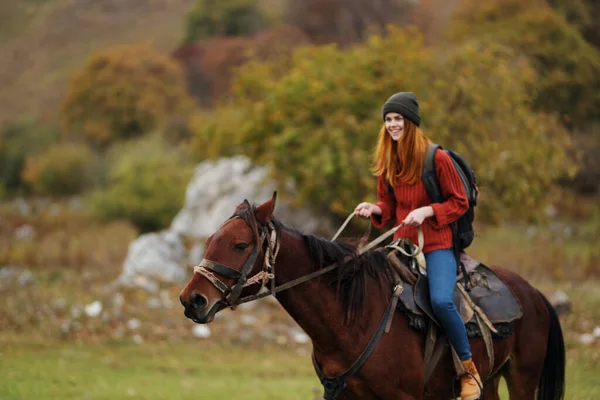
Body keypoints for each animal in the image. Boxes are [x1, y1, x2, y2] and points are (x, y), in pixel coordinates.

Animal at [178, 193, 564, 396]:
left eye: (240, 245)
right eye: (210, 239)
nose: (191, 300)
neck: (353, 319)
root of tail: (535, 296)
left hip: (522, 379)